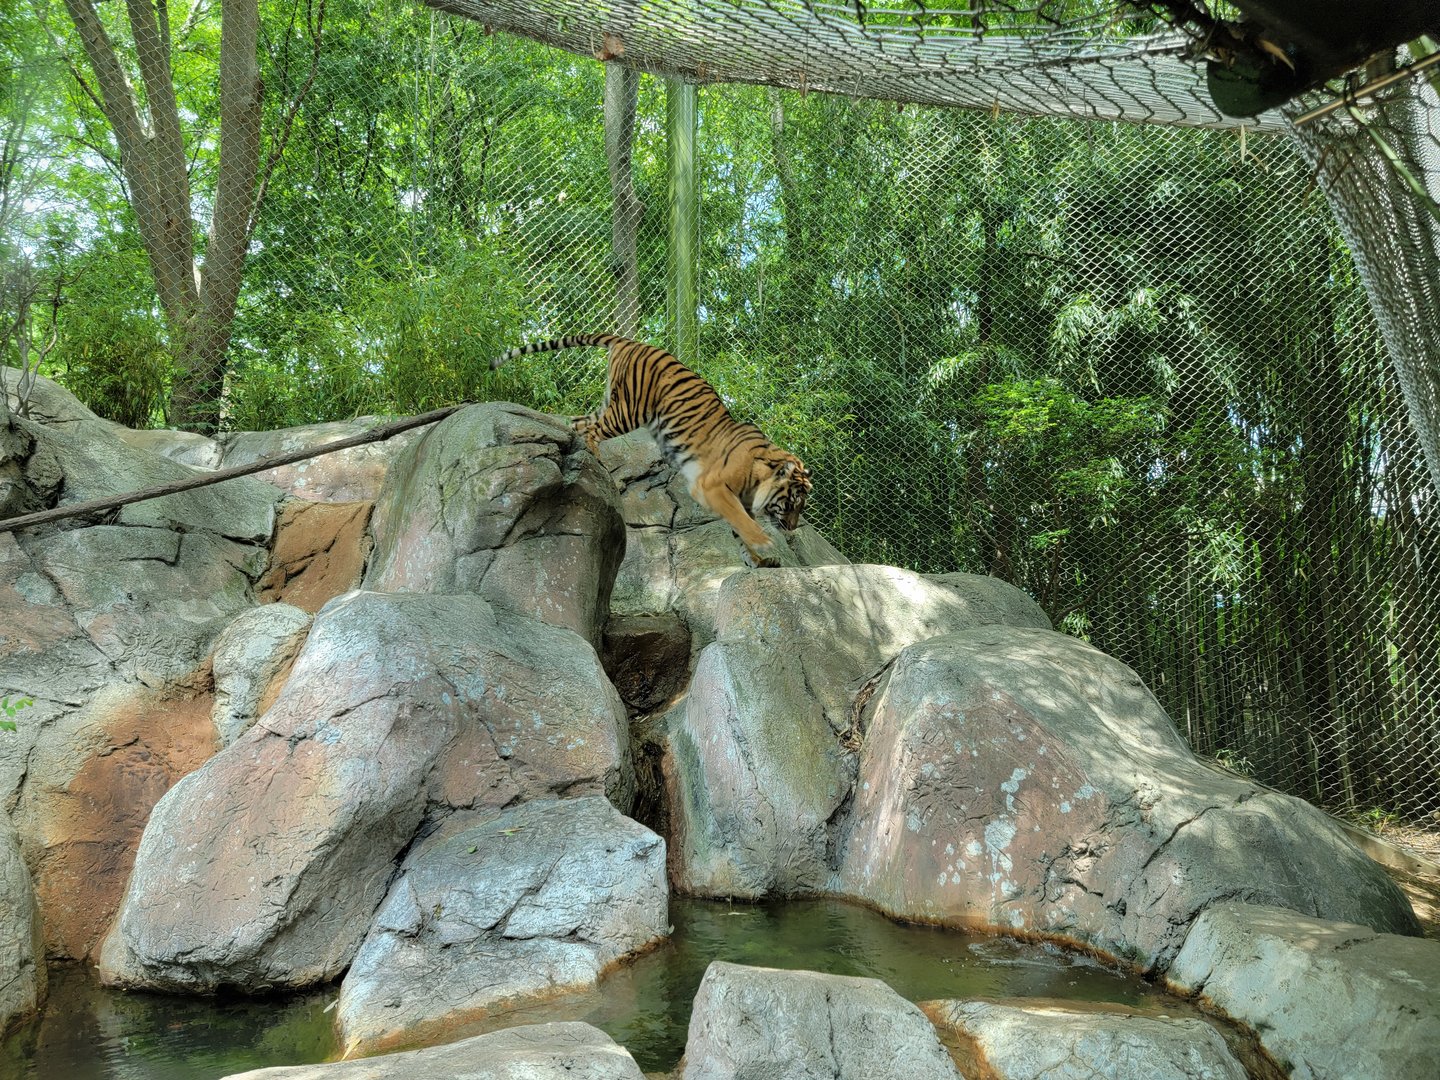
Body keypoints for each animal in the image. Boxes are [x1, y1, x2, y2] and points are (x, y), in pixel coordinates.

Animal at [491, 334, 812, 568]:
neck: (757, 482)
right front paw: (763, 544)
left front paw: (758, 560)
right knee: (592, 430)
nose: (792, 528)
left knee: (579, 422)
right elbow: (741, 521)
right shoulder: (713, 486)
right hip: (628, 410)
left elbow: (739, 529)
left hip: (612, 403)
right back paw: (598, 461)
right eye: (792, 502)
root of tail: (629, 341)